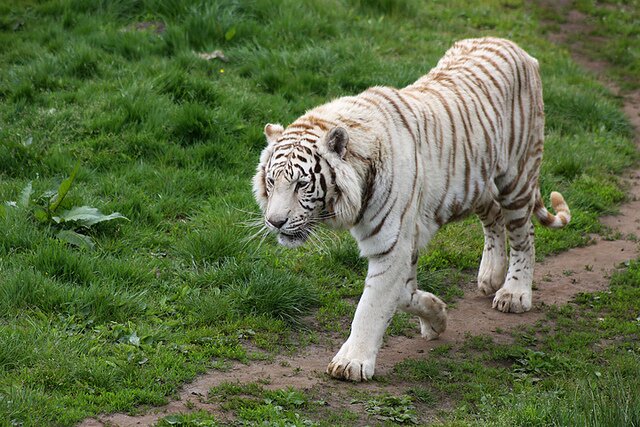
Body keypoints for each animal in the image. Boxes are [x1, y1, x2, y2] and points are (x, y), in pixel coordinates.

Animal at [251, 37, 568, 382]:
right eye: (271, 181)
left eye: (301, 184)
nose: (275, 222)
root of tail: (511, 44)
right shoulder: (404, 243)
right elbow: (403, 296)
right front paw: (437, 316)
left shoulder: (391, 245)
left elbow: (371, 306)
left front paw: (351, 363)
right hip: (477, 182)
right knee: (494, 217)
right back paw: (490, 275)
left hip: (517, 177)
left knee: (524, 236)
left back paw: (514, 293)